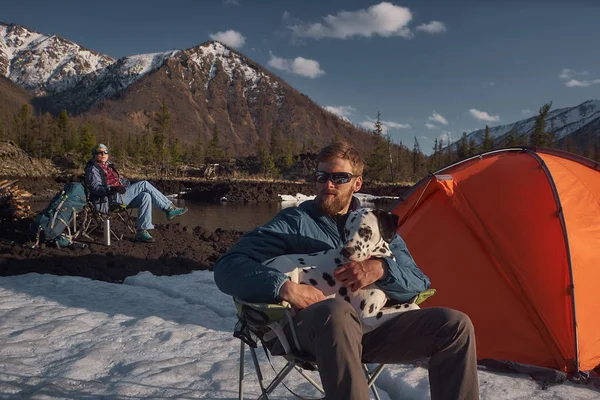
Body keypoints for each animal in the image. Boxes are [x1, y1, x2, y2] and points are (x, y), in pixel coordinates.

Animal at [264, 208, 420, 332]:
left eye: (365, 231)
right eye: (346, 231)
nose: (346, 251)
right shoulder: (368, 316)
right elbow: (414, 306)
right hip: (287, 267)